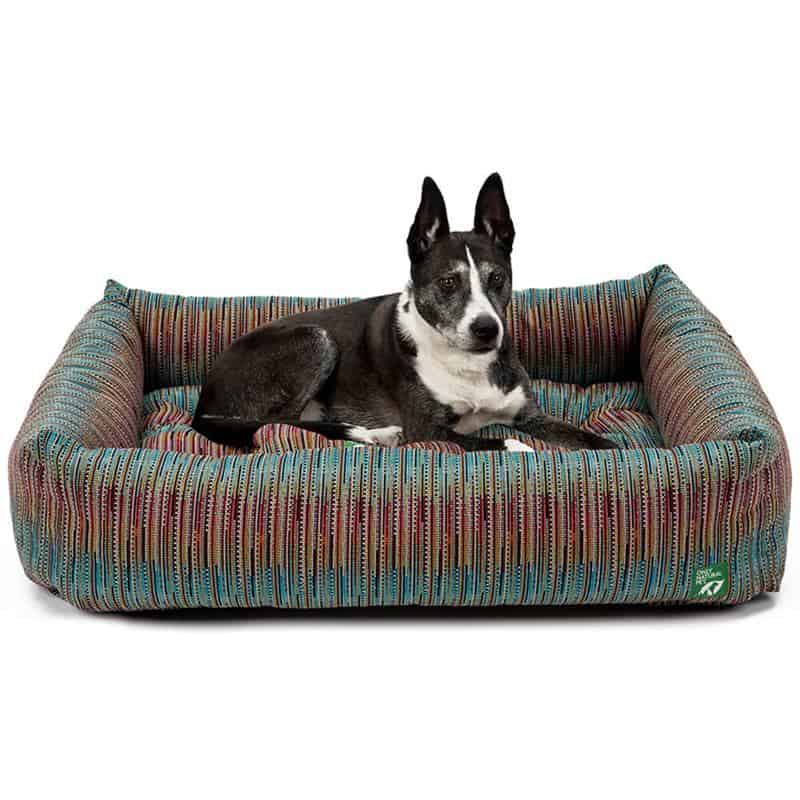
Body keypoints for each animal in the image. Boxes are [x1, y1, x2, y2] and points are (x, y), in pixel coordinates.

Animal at [192, 174, 618, 453]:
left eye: (496, 278)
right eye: (448, 282)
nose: (486, 329)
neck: (465, 362)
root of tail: (203, 401)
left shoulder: (529, 414)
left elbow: (599, 443)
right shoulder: (428, 428)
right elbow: (493, 442)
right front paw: (517, 448)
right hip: (316, 339)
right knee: (275, 425)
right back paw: (367, 435)